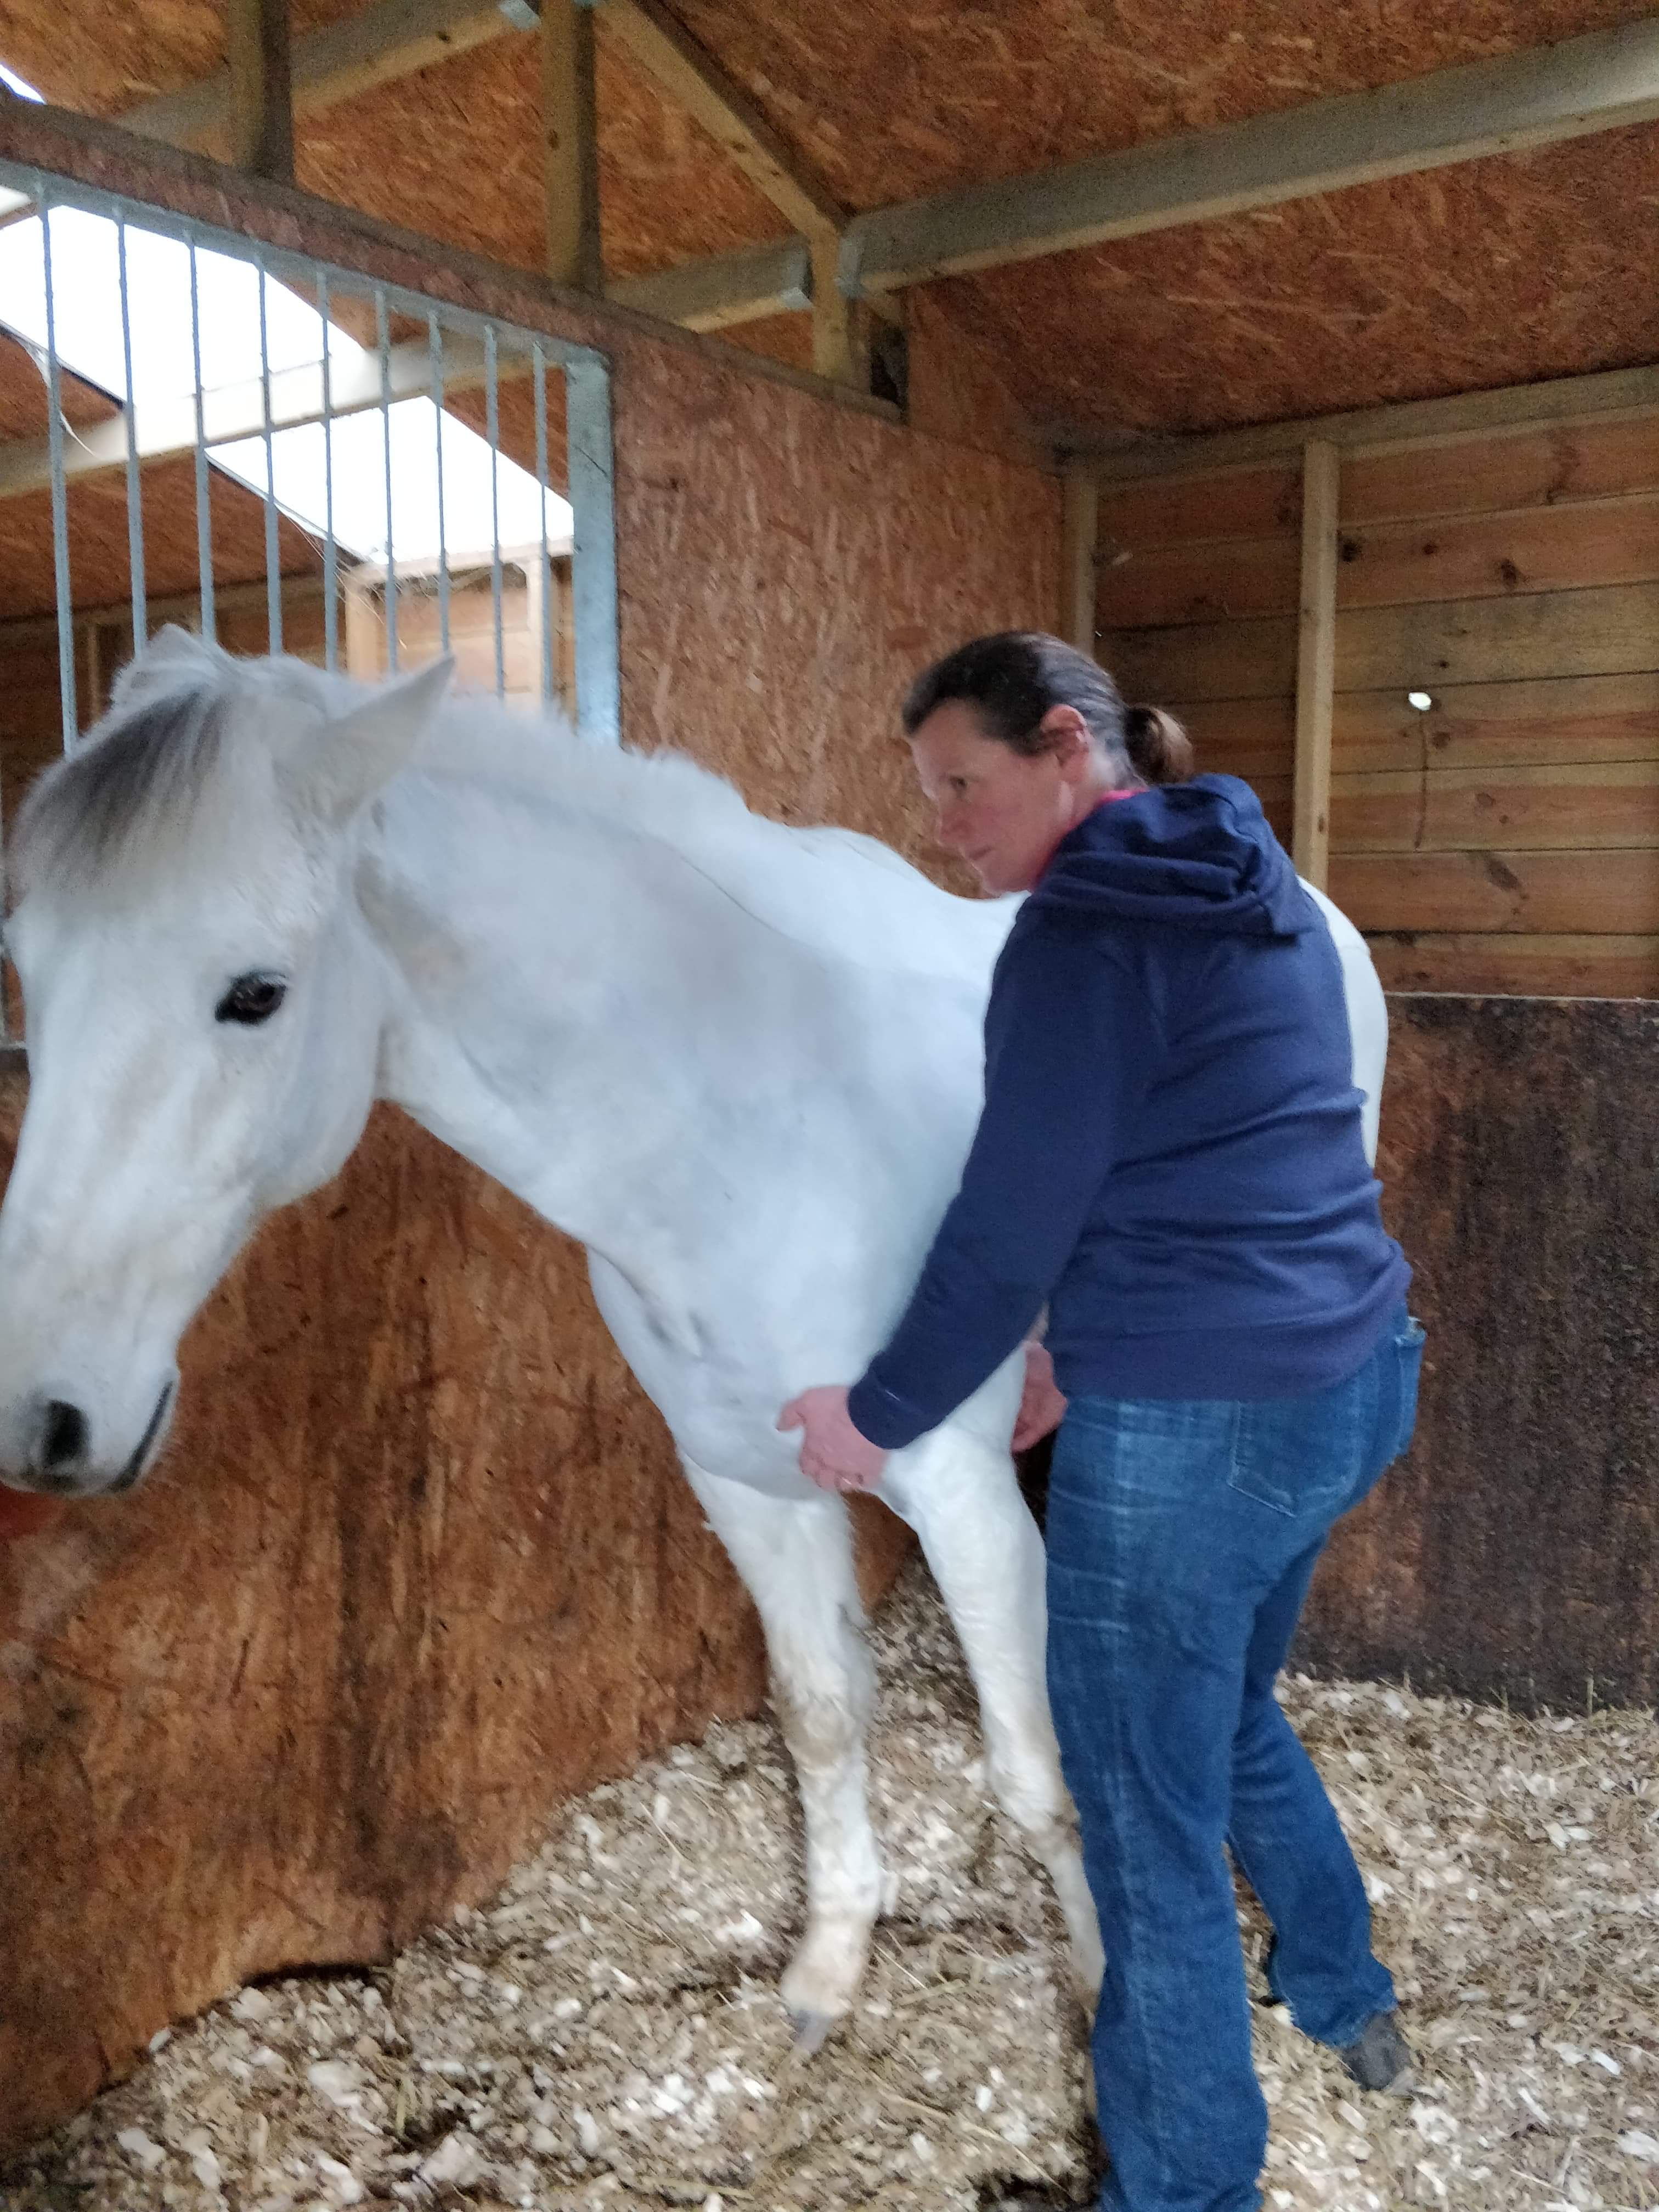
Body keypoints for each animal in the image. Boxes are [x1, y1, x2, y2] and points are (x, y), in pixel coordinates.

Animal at [0, 628, 1387, 2048]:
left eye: (256, 995)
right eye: (31, 975)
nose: (43, 1416)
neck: (747, 1113)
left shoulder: (959, 1491)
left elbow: (1041, 1769)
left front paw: (1106, 1989)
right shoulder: (742, 1477)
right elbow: (822, 1716)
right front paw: (832, 1965)